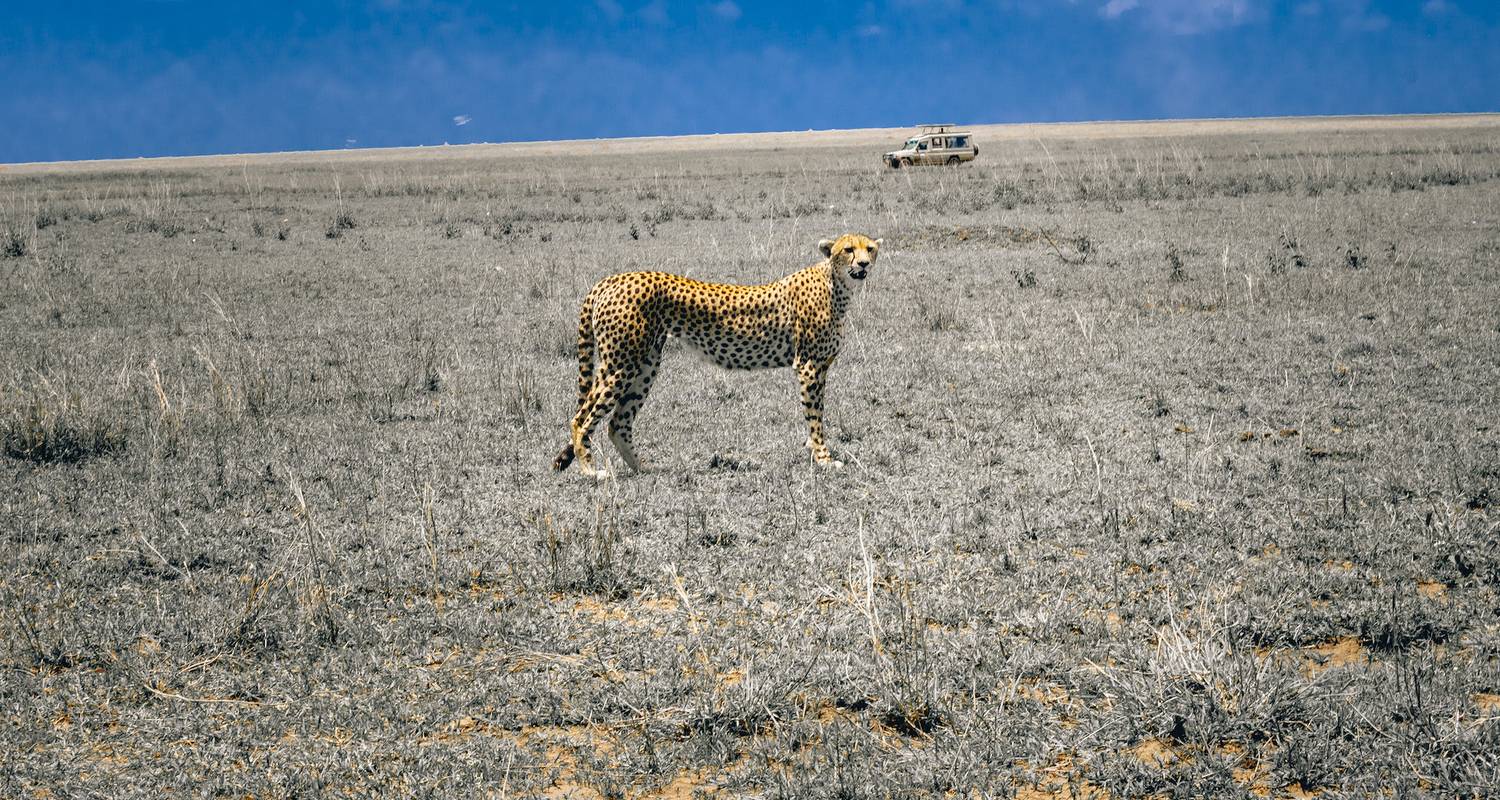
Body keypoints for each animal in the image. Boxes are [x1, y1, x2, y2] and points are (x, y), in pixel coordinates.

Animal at [552, 234, 876, 477]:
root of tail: (612, 279)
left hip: (645, 365)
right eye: (848, 249)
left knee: (618, 423)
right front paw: (823, 458)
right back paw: (591, 471)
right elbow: (815, 416)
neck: (837, 284)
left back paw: (643, 468)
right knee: (581, 419)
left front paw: (813, 450)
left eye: (870, 248)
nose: (863, 264)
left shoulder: (820, 367)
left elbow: (814, 414)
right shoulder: (809, 366)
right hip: (621, 364)